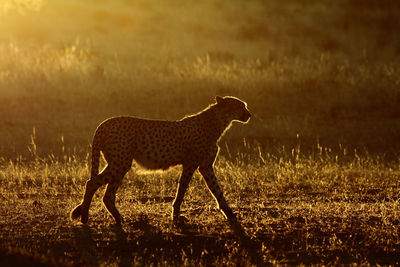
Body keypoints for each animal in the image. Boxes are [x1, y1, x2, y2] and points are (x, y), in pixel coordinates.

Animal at [69, 96, 250, 228]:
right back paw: (87, 218)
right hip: (121, 163)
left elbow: (217, 190)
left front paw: (230, 213)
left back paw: (115, 218)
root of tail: (103, 123)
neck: (217, 121)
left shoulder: (205, 166)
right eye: (241, 106)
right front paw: (176, 217)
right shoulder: (191, 164)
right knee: (94, 184)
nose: (249, 114)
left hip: (118, 162)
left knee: (104, 192)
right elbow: (182, 190)